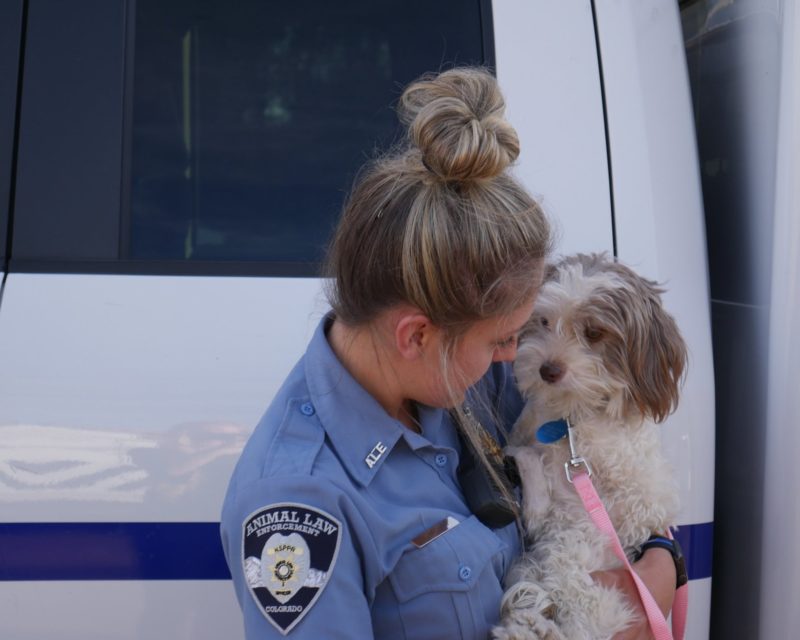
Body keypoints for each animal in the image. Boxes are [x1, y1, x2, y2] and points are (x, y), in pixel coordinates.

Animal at [494, 252, 688, 636]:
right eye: (543, 320)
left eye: (594, 332)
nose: (547, 369)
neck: (569, 423)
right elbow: (526, 455)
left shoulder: (630, 501)